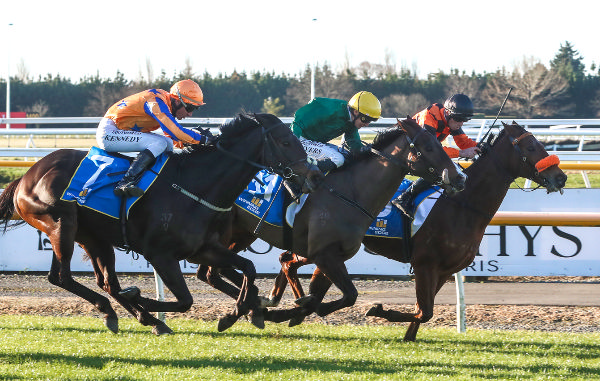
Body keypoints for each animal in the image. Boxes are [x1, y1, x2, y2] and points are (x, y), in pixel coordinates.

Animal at [0, 112, 324, 332]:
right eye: (286, 141)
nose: (314, 176)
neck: (195, 187)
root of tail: (27, 175)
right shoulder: (160, 254)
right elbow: (185, 301)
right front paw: (143, 299)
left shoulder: (203, 248)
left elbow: (249, 268)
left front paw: (238, 313)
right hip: (59, 224)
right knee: (64, 277)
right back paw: (129, 313)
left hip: (90, 236)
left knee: (102, 281)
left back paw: (131, 315)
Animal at [197, 116, 468, 326]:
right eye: (428, 147)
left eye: (440, 143)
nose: (459, 178)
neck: (351, 193)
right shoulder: (324, 254)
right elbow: (349, 295)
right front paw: (294, 309)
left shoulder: (335, 255)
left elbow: (332, 296)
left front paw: (294, 309)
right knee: (212, 272)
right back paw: (250, 307)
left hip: (243, 232)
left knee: (214, 271)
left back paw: (257, 304)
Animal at [268, 120, 568, 340]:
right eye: (530, 146)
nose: (561, 176)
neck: (462, 205)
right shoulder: (426, 263)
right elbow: (425, 312)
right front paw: (378, 310)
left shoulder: (444, 270)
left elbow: (423, 311)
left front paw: (407, 336)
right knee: (291, 262)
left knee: (288, 261)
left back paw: (284, 302)